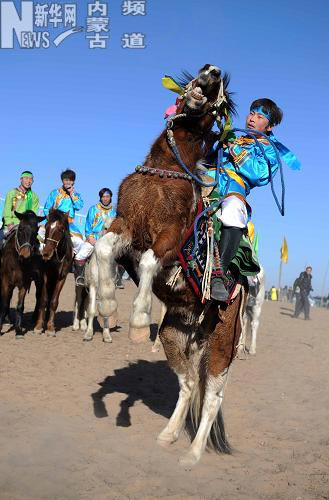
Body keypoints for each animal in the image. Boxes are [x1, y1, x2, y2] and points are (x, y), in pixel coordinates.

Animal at [0, 209, 44, 338]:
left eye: (36, 231)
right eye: (20, 229)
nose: (25, 255)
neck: (17, 261)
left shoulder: (24, 283)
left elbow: (20, 306)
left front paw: (18, 330)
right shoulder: (5, 281)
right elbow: (4, 304)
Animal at [34, 208, 72, 336]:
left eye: (61, 228)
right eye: (46, 226)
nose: (46, 253)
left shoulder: (61, 278)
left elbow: (54, 301)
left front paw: (50, 327)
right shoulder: (46, 276)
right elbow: (43, 300)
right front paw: (38, 326)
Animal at [92, 64, 246, 466]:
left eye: (220, 95)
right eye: (200, 73)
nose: (211, 72)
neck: (163, 171)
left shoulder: (169, 237)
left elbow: (148, 263)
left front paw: (137, 319)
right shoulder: (126, 224)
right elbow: (102, 249)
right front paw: (108, 305)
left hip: (223, 343)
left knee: (213, 397)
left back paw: (192, 454)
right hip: (176, 336)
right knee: (190, 384)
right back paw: (168, 436)